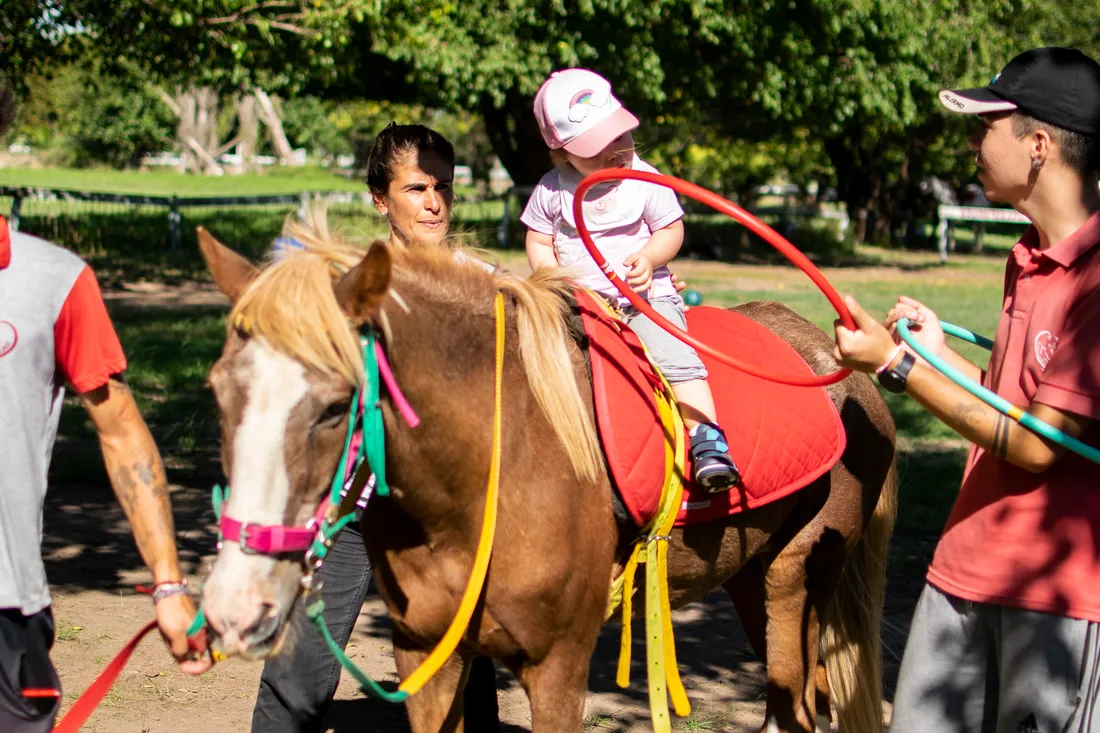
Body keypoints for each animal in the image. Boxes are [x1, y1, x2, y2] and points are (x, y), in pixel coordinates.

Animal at [197, 216, 897, 733]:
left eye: (334, 406)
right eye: (217, 392)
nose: (235, 603)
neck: (486, 474)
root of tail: (847, 368)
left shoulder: (559, 665)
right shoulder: (425, 656)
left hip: (796, 580)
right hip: (751, 579)